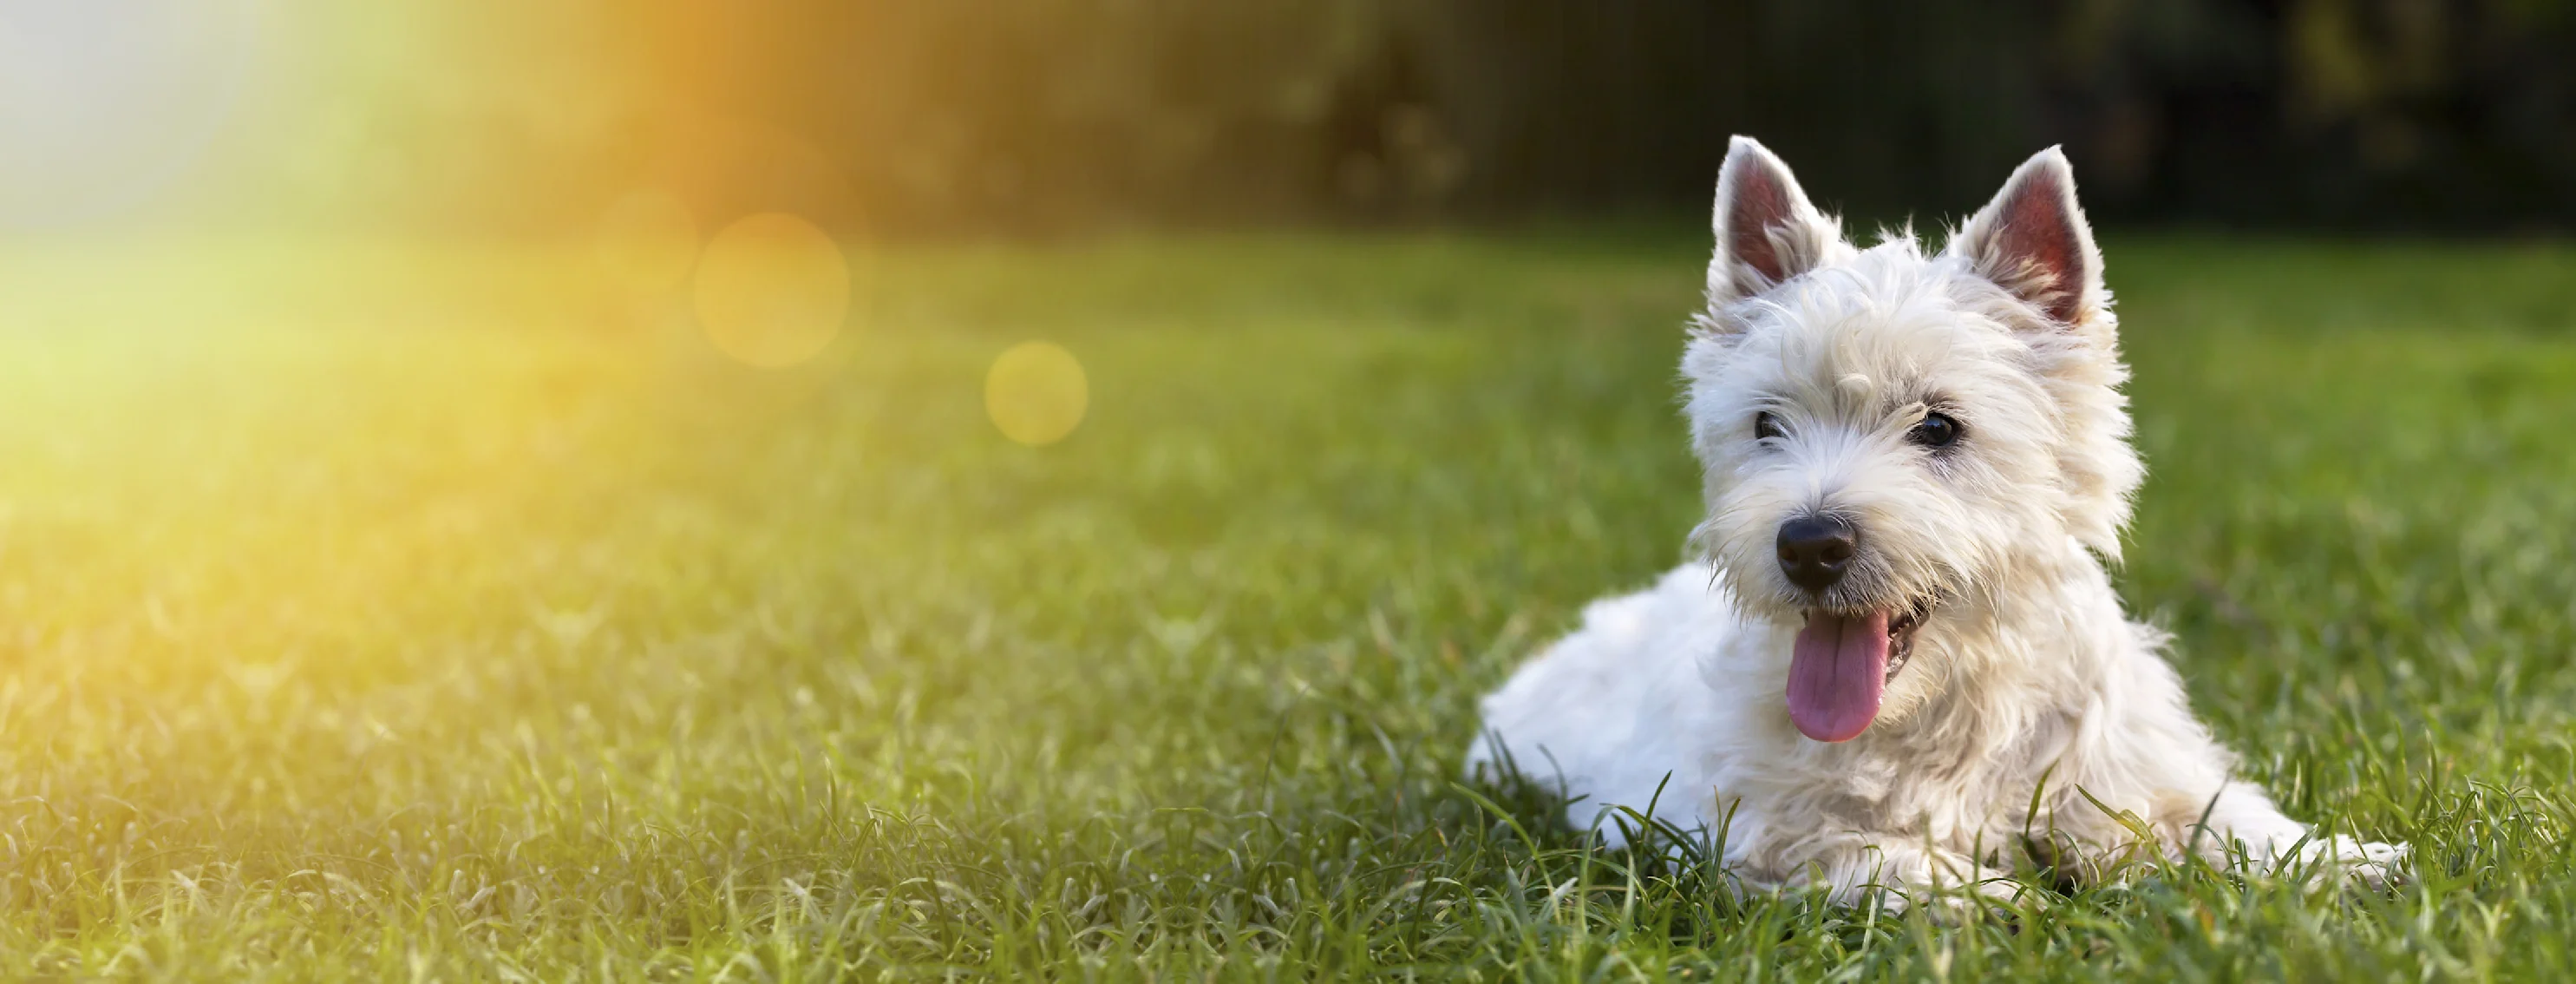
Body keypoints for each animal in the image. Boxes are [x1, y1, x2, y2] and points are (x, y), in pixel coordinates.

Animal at [1483, 136, 2401, 906]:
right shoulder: (1758, 832)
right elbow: (1888, 857)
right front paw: (2009, 903)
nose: (1809, 546)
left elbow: (2224, 819)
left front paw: (2355, 862)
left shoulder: (2126, 775)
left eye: (1937, 426)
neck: (1943, 707)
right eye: (1767, 424)